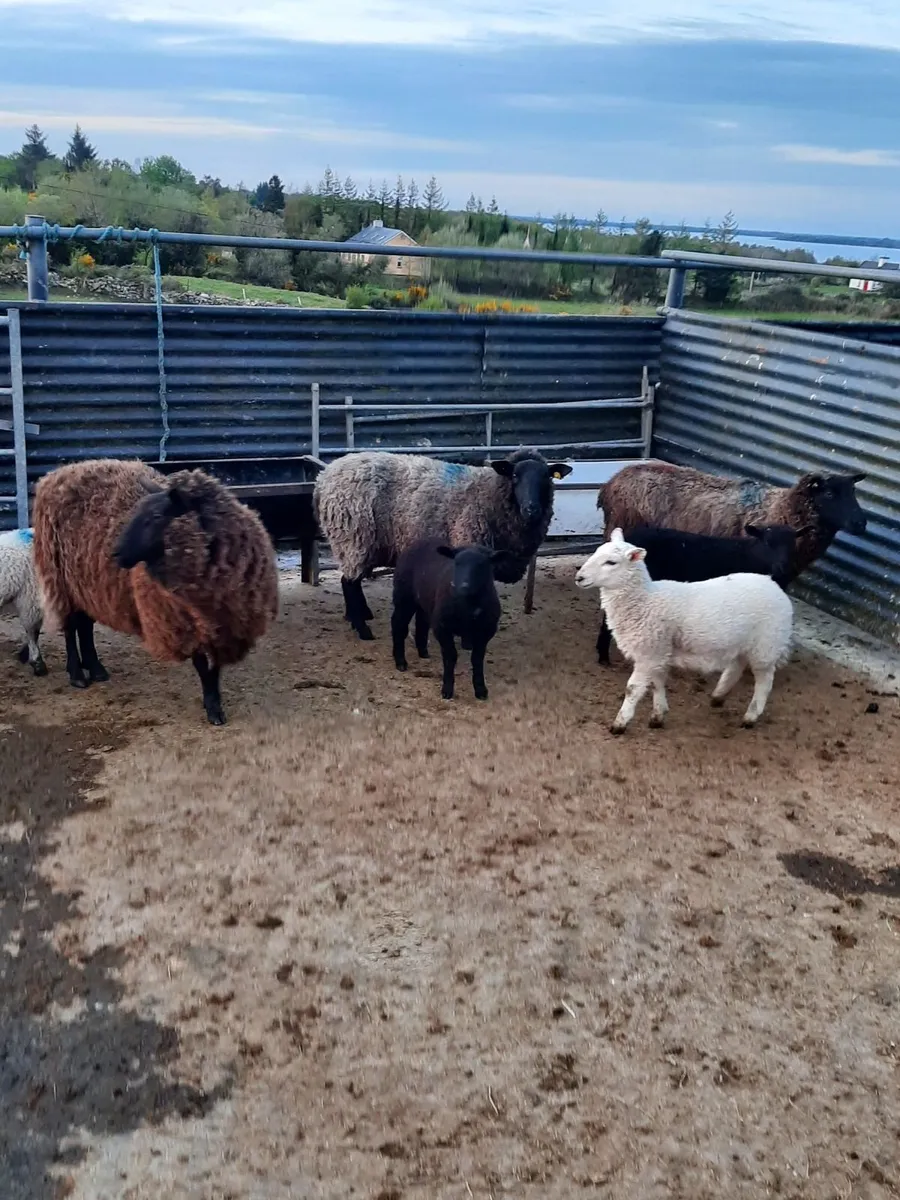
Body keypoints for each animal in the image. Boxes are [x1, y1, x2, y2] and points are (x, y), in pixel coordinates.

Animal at [32, 458, 279, 725]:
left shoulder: (221, 622)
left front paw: (215, 705)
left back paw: (96, 669)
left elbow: (214, 668)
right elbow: (203, 667)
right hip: (61, 579)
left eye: (157, 516)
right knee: (70, 626)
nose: (115, 553)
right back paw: (77, 674)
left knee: (84, 625)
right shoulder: (183, 621)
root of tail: (56, 475)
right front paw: (213, 708)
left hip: (87, 586)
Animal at [314, 449, 572, 640]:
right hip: (354, 537)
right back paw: (363, 629)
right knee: (349, 582)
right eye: (515, 476)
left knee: (352, 581)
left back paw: (359, 616)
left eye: (546, 478)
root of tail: (325, 475)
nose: (531, 509)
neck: (489, 493)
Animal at [391, 539, 504, 701]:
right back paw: (400, 662)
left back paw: (423, 651)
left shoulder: (486, 630)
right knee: (398, 624)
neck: (467, 605)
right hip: (404, 595)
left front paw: (481, 690)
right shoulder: (442, 626)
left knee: (421, 621)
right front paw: (447, 690)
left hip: (425, 599)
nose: (463, 587)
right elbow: (451, 656)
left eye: (482, 564)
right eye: (457, 563)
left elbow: (477, 659)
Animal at [575, 528, 793, 733]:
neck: (645, 600)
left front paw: (619, 724)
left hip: (766, 644)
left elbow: (633, 689)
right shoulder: (659, 651)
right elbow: (657, 682)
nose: (579, 577)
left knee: (764, 681)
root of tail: (773, 583)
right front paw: (658, 715)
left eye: (611, 562)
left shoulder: (649, 652)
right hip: (742, 641)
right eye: (596, 552)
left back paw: (751, 716)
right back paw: (718, 696)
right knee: (736, 665)